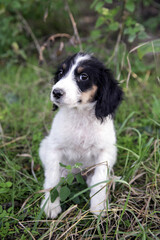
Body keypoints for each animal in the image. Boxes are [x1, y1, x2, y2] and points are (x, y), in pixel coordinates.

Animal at [39, 52, 123, 218]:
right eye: (61, 73)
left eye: (83, 76)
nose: (56, 92)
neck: (80, 117)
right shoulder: (53, 149)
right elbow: (52, 178)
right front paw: (51, 206)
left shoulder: (105, 152)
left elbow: (99, 179)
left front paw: (98, 206)